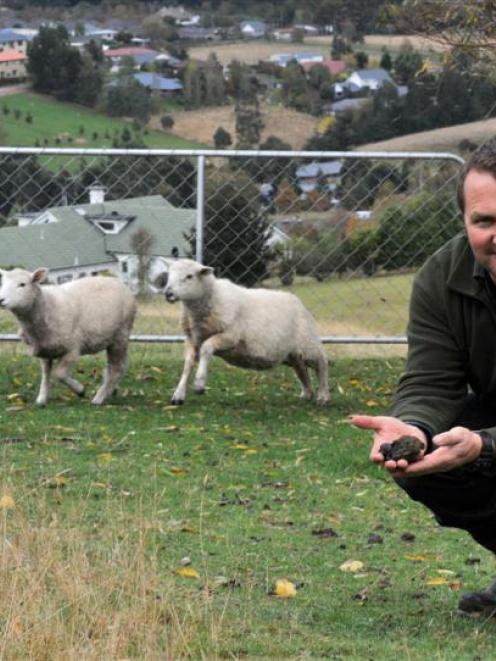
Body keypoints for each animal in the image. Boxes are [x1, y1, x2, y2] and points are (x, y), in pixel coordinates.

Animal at [0, 266, 137, 402]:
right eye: (2, 283)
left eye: (22, 284)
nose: (1, 299)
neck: (47, 306)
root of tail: (118, 282)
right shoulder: (45, 349)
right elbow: (46, 373)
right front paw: (42, 397)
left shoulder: (73, 349)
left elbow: (59, 374)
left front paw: (80, 390)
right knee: (113, 368)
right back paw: (110, 391)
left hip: (120, 336)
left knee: (116, 368)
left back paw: (99, 397)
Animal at [155, 256, 330, 402]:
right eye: (168, 275)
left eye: (189, 276)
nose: (168, 293)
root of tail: (297, 301)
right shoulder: (193, 340)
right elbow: (188, 364)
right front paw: (178, 395)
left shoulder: (230, 337)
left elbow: (206, 348)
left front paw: (199, 384)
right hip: (292, 353)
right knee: (301, 369)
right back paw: (307, 393)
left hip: (308, 343)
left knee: (321, 364)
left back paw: (323, 396)